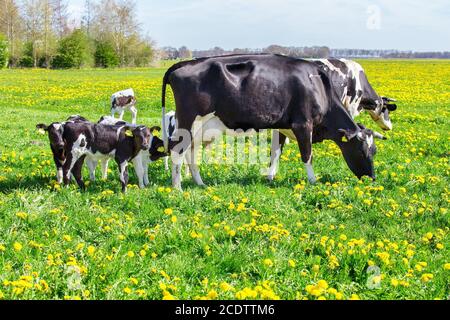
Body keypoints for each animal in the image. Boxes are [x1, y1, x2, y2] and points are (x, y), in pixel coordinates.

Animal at [162, 54, 386, 190]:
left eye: (374, 151)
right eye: (362, 151)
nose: (372, 178)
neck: (317, 84)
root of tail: (184, 64)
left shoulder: (282, 126)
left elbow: (275, 153)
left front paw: (269, 177)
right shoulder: (303, 125)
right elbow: (307, 155)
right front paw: (313, 181)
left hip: (201, 128)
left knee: (190, 152)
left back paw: (199, 183)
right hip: (188, 121)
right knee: (177, 150)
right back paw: (177, 187)